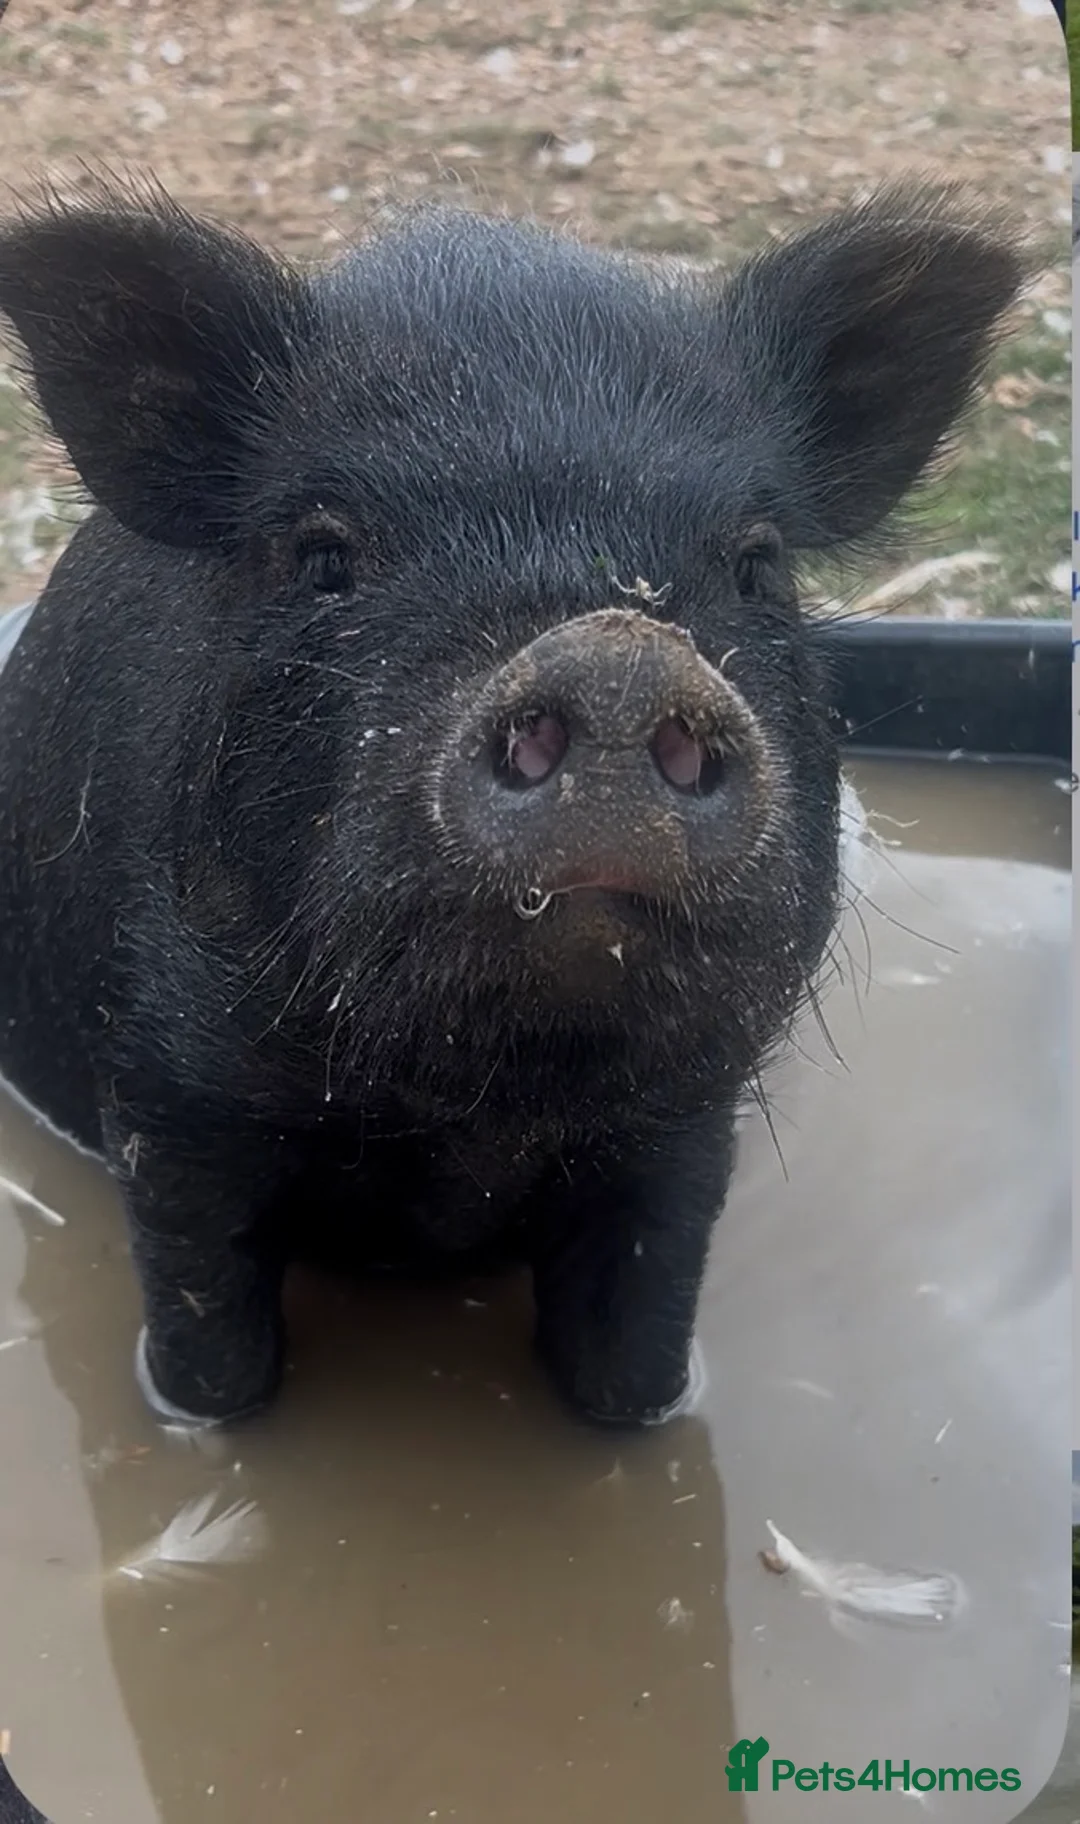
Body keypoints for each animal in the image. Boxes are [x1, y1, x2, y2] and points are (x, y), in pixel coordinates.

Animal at [0, 177, 1025, 1431]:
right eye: (324, 555)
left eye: (759, 561)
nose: (617, 652)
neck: (482, 1098)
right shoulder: (164, 1087)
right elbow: (211, 1358)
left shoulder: (686, 1117)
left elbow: (633, 1371)